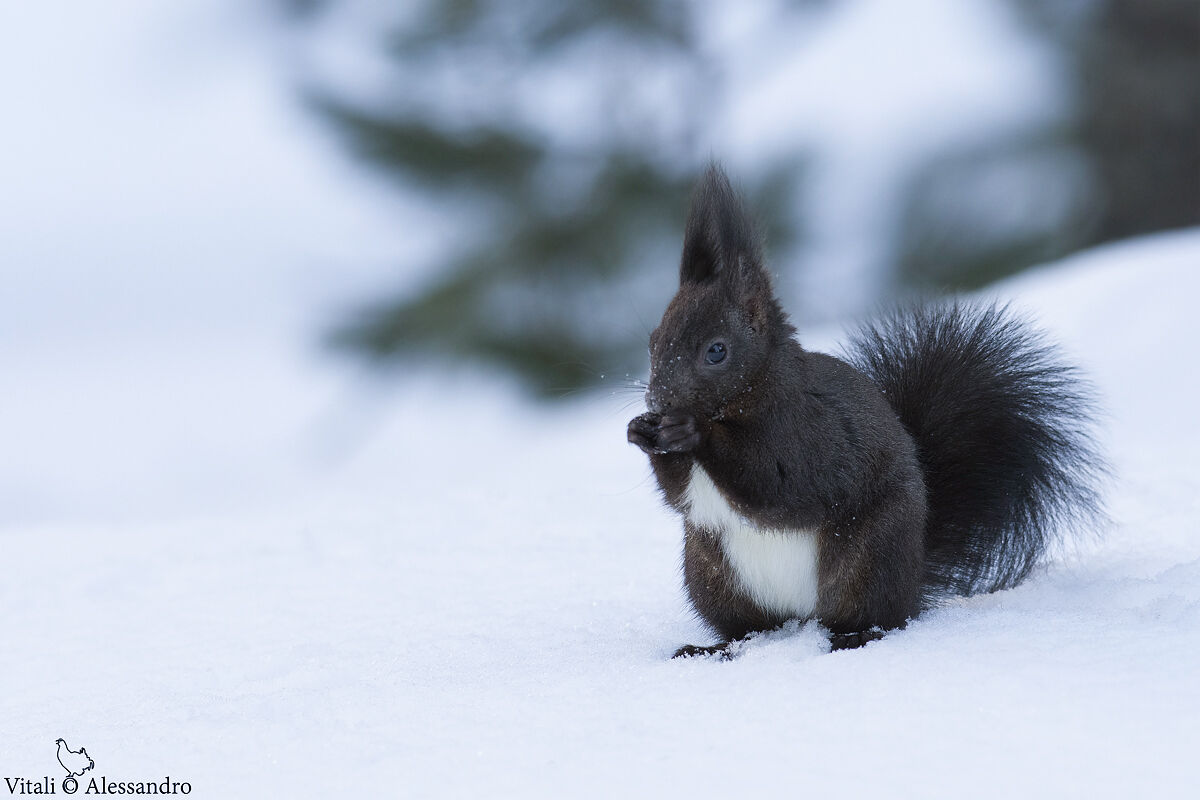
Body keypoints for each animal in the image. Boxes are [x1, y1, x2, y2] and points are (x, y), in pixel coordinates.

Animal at [627, 165, 1105, 657]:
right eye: (653, 342)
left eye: (716, 351)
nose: (659, 402)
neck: (753, 393)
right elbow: (681, 497)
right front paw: (643, 433)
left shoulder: (808, 432)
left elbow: (773, 479)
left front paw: (692, 431)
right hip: (711, 576)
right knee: (749, 630)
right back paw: (712, 649)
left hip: (872, 556)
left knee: (879, 617)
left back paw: (855, 636)